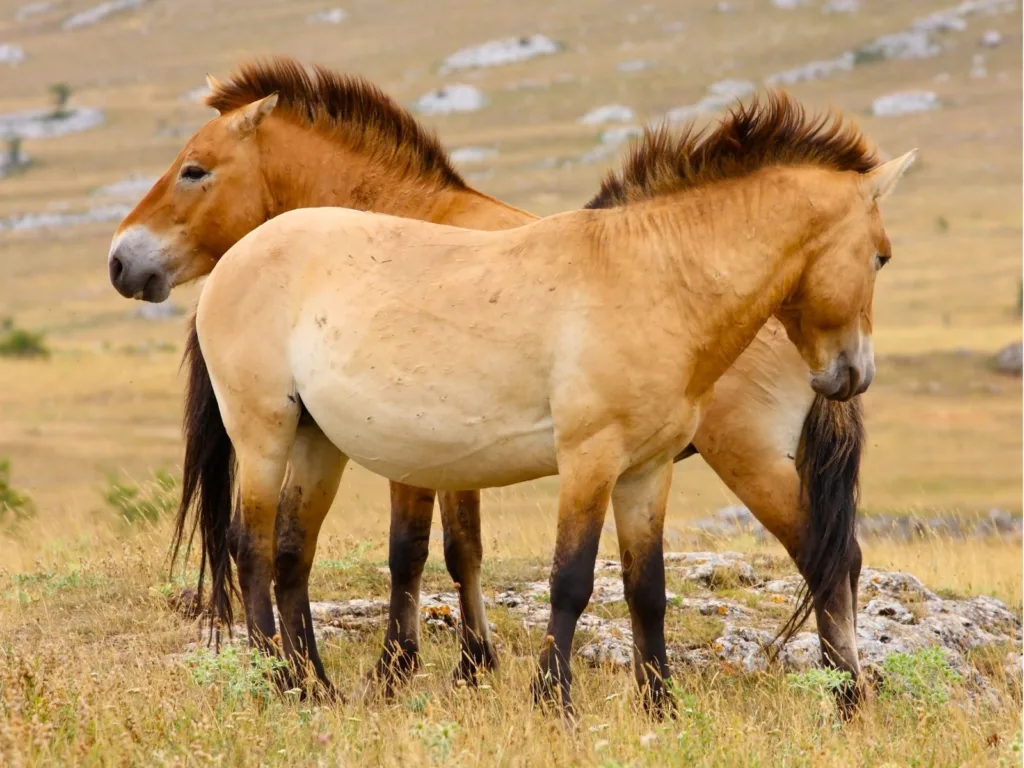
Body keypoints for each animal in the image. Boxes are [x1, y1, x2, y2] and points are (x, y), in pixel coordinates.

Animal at [107, 57, 909, 709]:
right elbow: (556, 577)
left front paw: (658, 708)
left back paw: (314, 686)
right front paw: (544, 699)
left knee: (287, 553)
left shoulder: (643, 471)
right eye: (881, 255)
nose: (852, 374)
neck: (652, 273)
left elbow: (642, 589)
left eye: (194, 168)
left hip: (315, 441)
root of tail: (244, 256)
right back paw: (279, 682)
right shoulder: (581, 461)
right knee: (251, 547)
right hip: (267, 432)